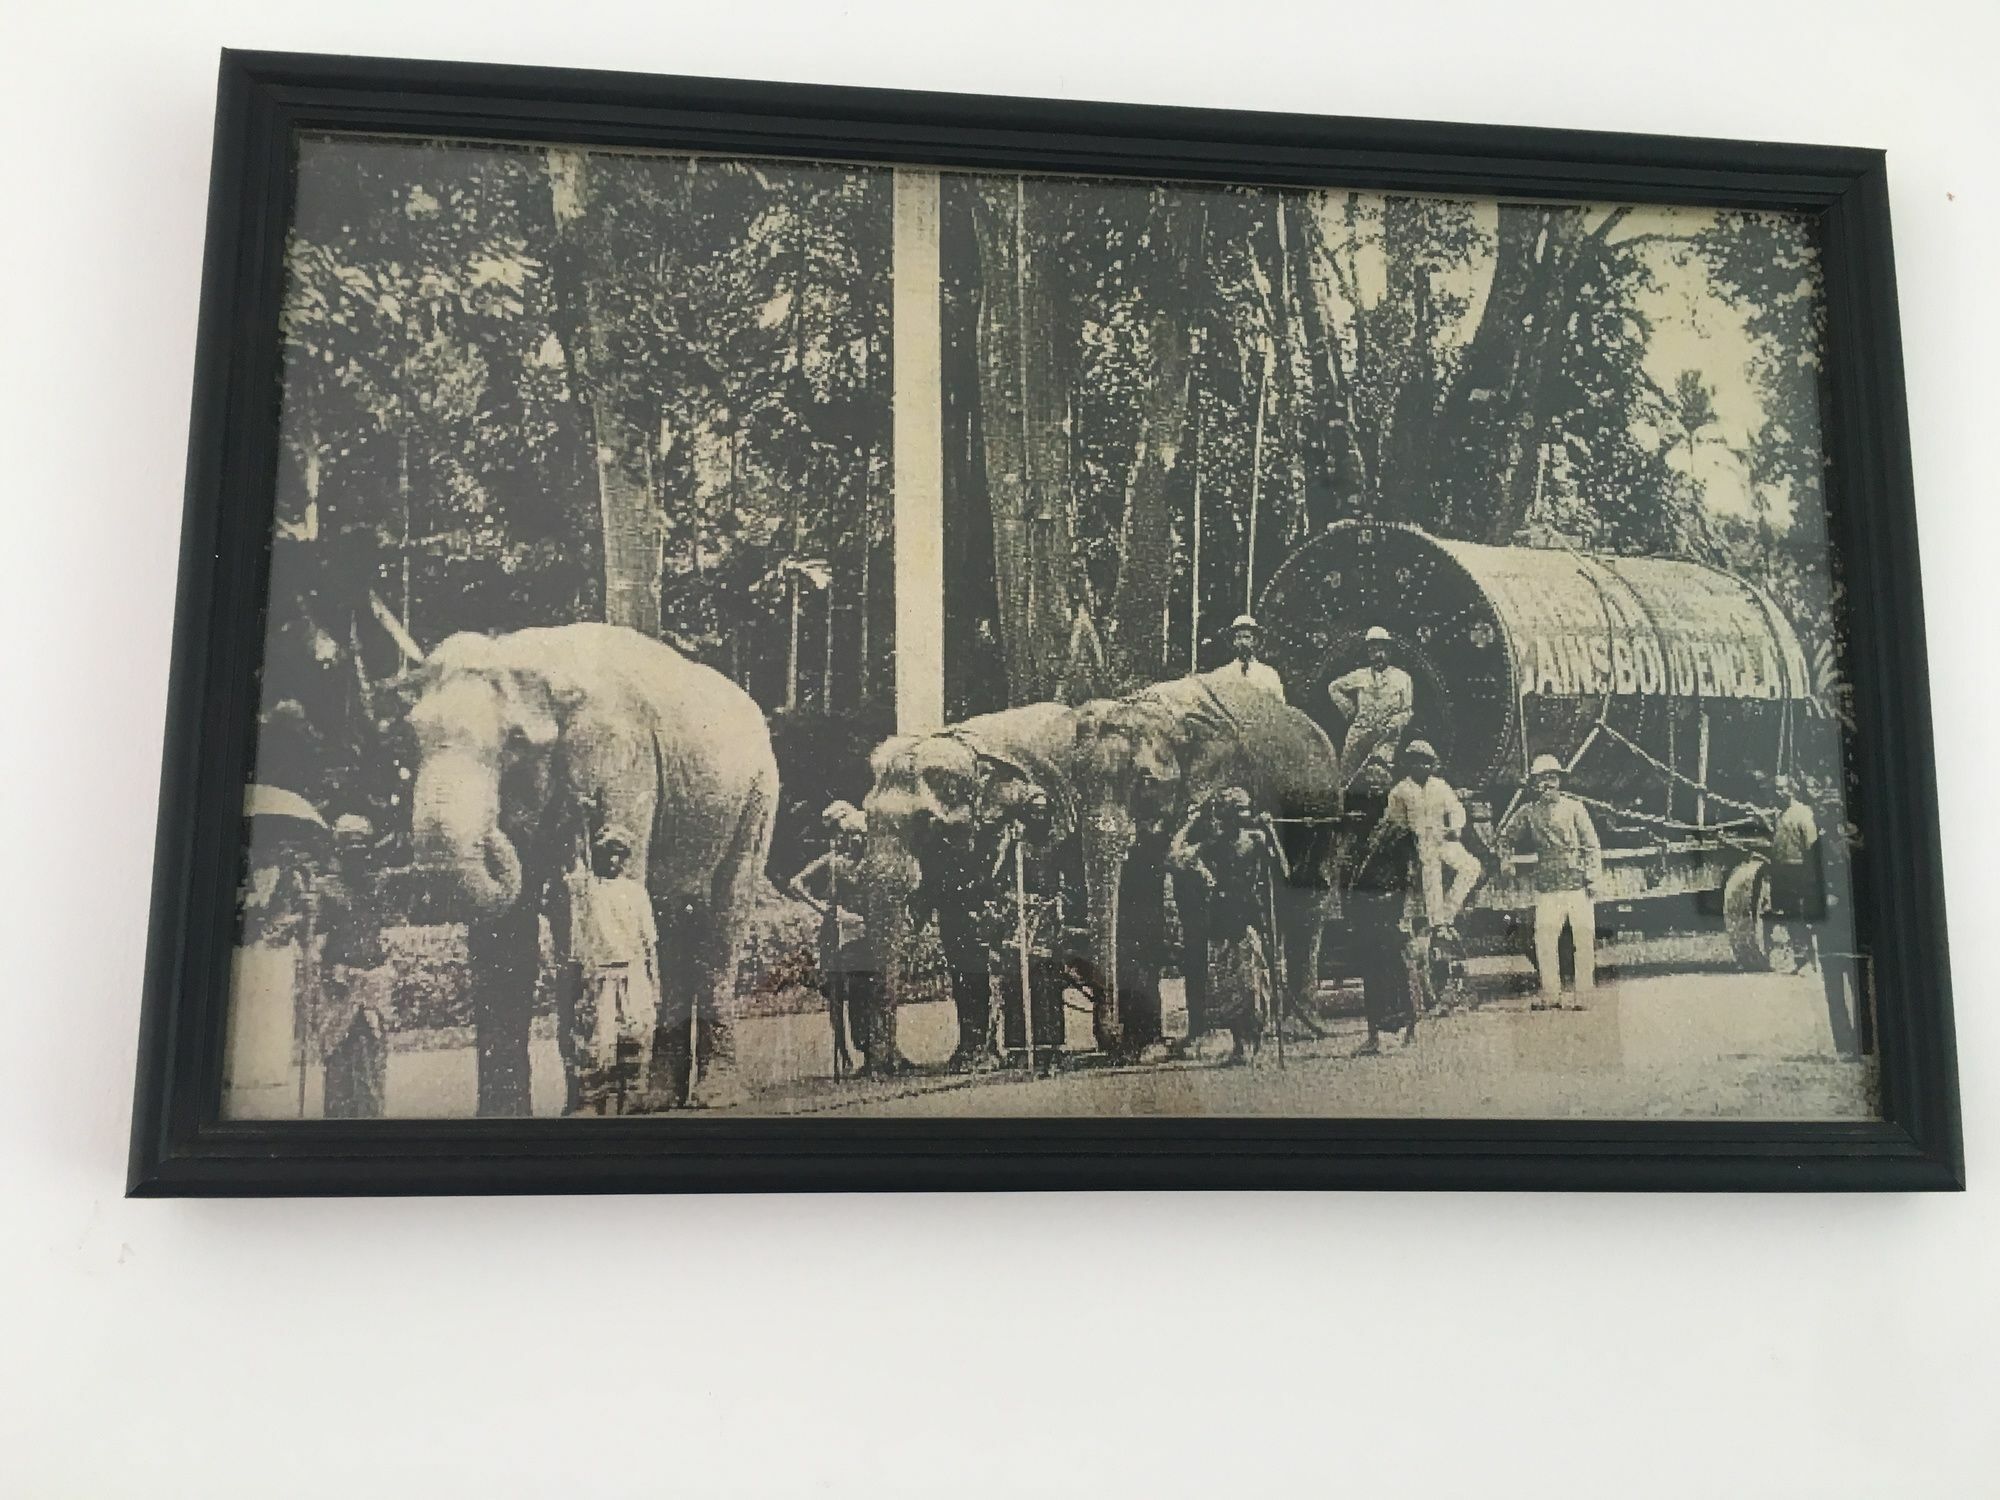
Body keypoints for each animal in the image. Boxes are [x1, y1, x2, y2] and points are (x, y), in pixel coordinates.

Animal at [400, 624, 780, 1120]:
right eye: (412, 737)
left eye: (516, 741)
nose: (496, 833)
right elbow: (503, 940)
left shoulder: (624, 770)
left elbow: (577, 917)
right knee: (671, 925)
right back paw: (657, 1101)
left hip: (757, 799)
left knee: (722, 923)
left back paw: (712, 1097)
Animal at [860, 700, 1080, 1072]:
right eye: (868, 816)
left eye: (930, 826)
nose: (896, 1064)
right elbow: (959, 935)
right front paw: (968, 1062)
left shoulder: (1041, 832)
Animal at [1072, 676, 1336, 1064]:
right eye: (1078, 782)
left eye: (1146, 781)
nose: (1115, 1041)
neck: (1158, 709)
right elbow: (1141, 895)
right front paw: (1152, 1050)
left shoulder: (1219, 780)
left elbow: (1193, 894)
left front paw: (1200, 1047)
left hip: (1322, 811)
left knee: (1305, 902)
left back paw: (1297, 1030)